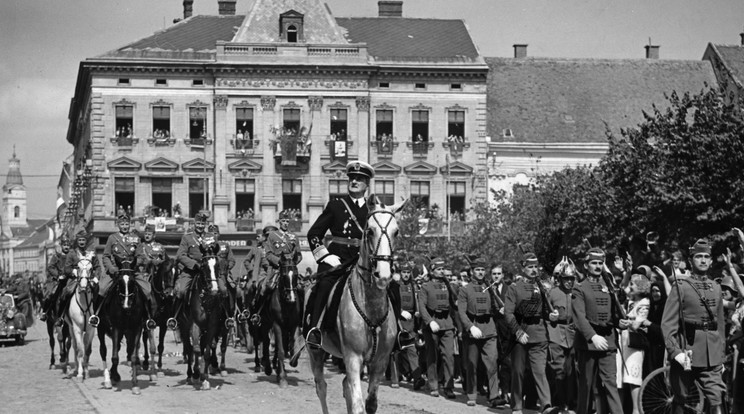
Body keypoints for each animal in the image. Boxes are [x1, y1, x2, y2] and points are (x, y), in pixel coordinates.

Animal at [98, 262, 152, 394]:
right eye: (119, 282)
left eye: (133, 281)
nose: (126, 305)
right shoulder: (116, 328)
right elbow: (114, 356)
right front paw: (115, 376)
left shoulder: (137, 328)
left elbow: (133, 356)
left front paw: (135, 384)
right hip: (101, 328)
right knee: (103, 351)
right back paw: (108, 380)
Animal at [179, 238, 228, 390]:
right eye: (204, 266)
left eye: (217, 265)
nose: (215, 289)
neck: (206, 299)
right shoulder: (195, 324)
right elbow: (195, 350)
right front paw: (196, 374)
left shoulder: (211, 326)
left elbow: (206, 352)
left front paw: (205, 378)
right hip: (185, 327)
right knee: (189, 349)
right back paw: (191, 375)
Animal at [256, 252, 302, 388]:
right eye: (284, 275)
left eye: (296, 275)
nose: (291, 298)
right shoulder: (277, 325)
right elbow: (281, 350)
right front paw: (282, 379)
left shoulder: (294, 325)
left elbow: (294, 348)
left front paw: (293, 362)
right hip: (266, 323)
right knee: (266, 342)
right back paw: (268, 368)